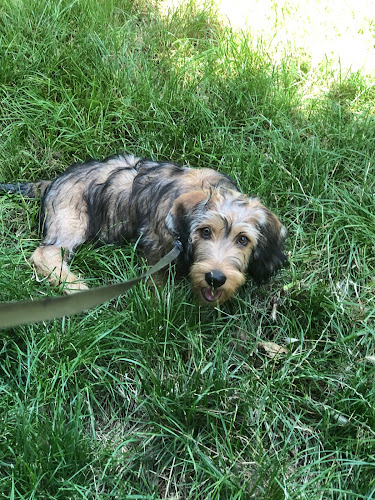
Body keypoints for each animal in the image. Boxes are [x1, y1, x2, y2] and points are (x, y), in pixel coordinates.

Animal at [0, 154, 288, 304]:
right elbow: (156, 279)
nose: (215, 278)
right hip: (71, 221)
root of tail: (51, 183)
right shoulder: (155, 244)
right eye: (205, 232)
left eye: (243, 240)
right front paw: (161, 300)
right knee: (46, 254)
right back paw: (76, 287)